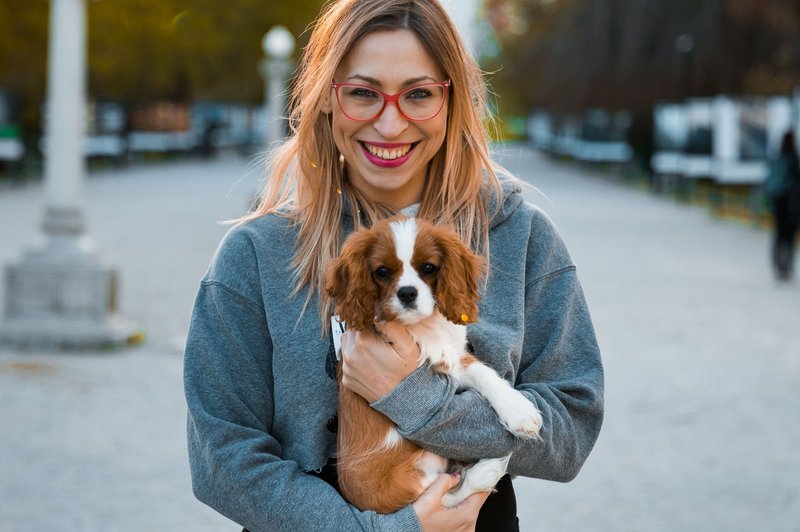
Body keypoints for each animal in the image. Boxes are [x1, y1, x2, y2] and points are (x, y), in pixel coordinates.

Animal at [324, 214, 544, 512]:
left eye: (428, 268)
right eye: (382, 272)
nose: (407, 293)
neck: (422, 325)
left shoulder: (455, 354)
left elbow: (483, 371)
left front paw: (519, 410)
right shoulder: (437, 358)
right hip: (414, 478)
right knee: (445, 497)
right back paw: (487, 470)